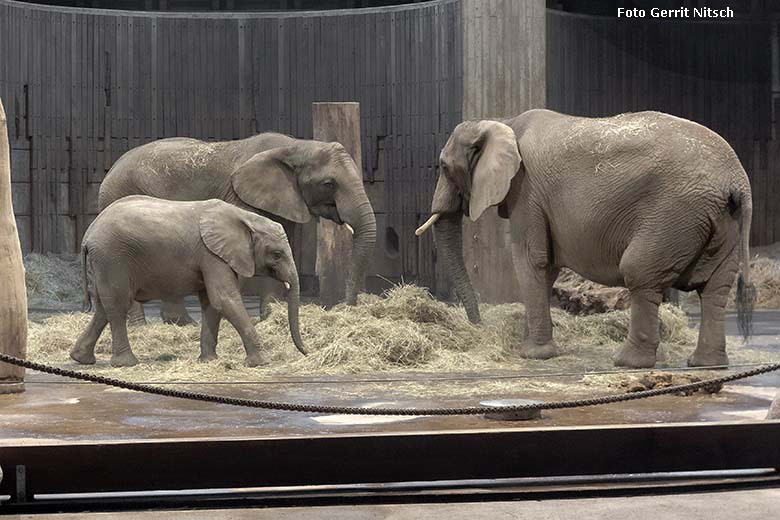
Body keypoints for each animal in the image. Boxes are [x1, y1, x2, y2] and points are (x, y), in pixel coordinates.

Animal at [69, 193, 308, 368]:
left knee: (103, 306)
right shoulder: (212, 255)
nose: (306, 352)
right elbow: (224, 298)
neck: (246, 218)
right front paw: (260, 363)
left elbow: (212, 303)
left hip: (105, 261)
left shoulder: (213, 256)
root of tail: (88, 233)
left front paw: (209, 361)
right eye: (277, 254)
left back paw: (80, 359)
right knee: (118, 304)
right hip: (112, 257)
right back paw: (126, 364)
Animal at [100, 132, 378, 322]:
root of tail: (109, 172)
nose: (349, 307)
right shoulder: (241, 197)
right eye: (329, 184)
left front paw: (269, 317)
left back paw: (182, 324)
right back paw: (140, 325)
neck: (295, 145)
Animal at [420, 110, 756, 370]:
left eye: (444, 167)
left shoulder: (526, 192)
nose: (479, 327)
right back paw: (706, 364)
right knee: (714, 287)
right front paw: (530, 344)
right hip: (721, 220)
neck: (502, 121)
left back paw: (627, 361)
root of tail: (736, 180)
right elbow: (546, 267)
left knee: (639, 272)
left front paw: (532, 354)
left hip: (675, 213)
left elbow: (531, 260)